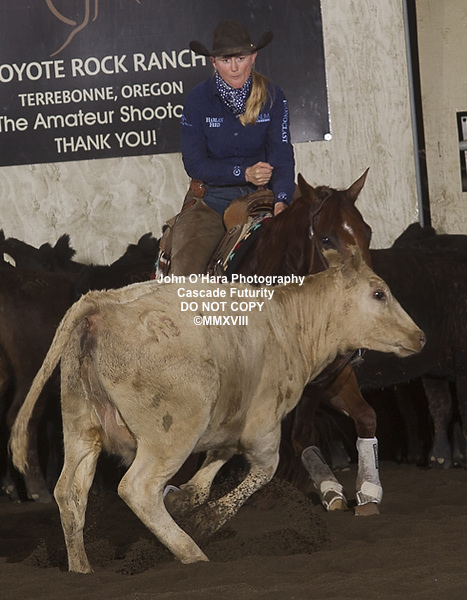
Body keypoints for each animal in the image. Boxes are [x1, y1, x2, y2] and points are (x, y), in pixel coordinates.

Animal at [10, 248, 424, 572]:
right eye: (379, 293)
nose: (419, 337)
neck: (288, 323)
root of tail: (100, 303)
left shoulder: (229, 420)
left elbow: (214, 462)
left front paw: (184, 498)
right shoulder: (263, 426)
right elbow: (264, 472)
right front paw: (206, 522)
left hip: (81, 425)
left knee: (70, 492)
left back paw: (81, 567)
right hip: (172, 431)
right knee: (137, 489)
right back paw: (192, 554)